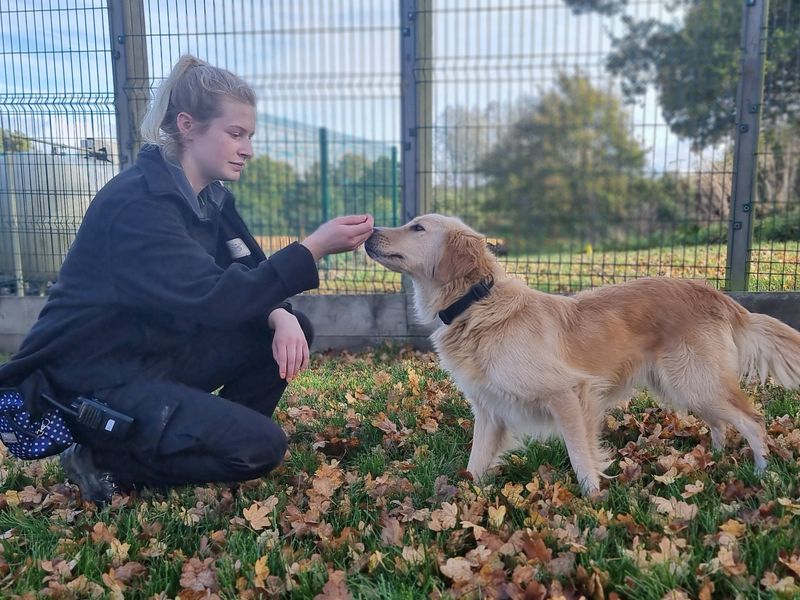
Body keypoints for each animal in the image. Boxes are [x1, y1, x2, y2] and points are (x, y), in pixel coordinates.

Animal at [366, 213, 800, 494]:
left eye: (417, 227)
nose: (369, 232)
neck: (476, 303)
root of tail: (718, 295)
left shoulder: (569, 394)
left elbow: (579, 455)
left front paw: (592, 500)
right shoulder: (489, 410)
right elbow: (475, 463)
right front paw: (462, 501)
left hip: (695, 381)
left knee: (751, 420)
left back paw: (762, 473)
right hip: (683, 386)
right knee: (721, 423)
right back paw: (713, 459)